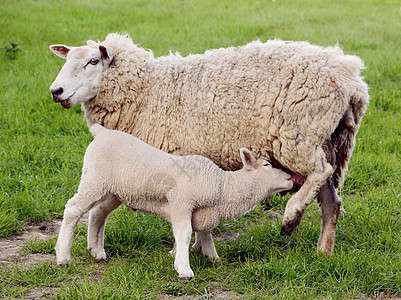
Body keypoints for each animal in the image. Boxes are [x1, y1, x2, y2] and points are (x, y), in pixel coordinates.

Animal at [49, 34, 368, 255]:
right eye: (66, 61)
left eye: (93, 61)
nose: (56, 91)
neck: (148, 90)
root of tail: (352, 79)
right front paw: (198, 248)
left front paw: (184, 250)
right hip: (329, 141)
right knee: (331, 202)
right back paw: (323, 252)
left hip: (298, 136)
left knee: (320, 172)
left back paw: (291, 215)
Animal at [55, 123, 290, 278]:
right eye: (267, 165)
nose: (290, 178)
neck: (222, 186)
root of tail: (102, 132)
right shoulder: (181, 201)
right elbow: (184, 233)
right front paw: (184, 269)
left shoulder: (202, 211)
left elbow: (205, 233)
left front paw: (212, 257)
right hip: (94, 179)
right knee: (73, 210)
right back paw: (63, 257)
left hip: (114, 190)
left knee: (98, 213)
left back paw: (97, 253)